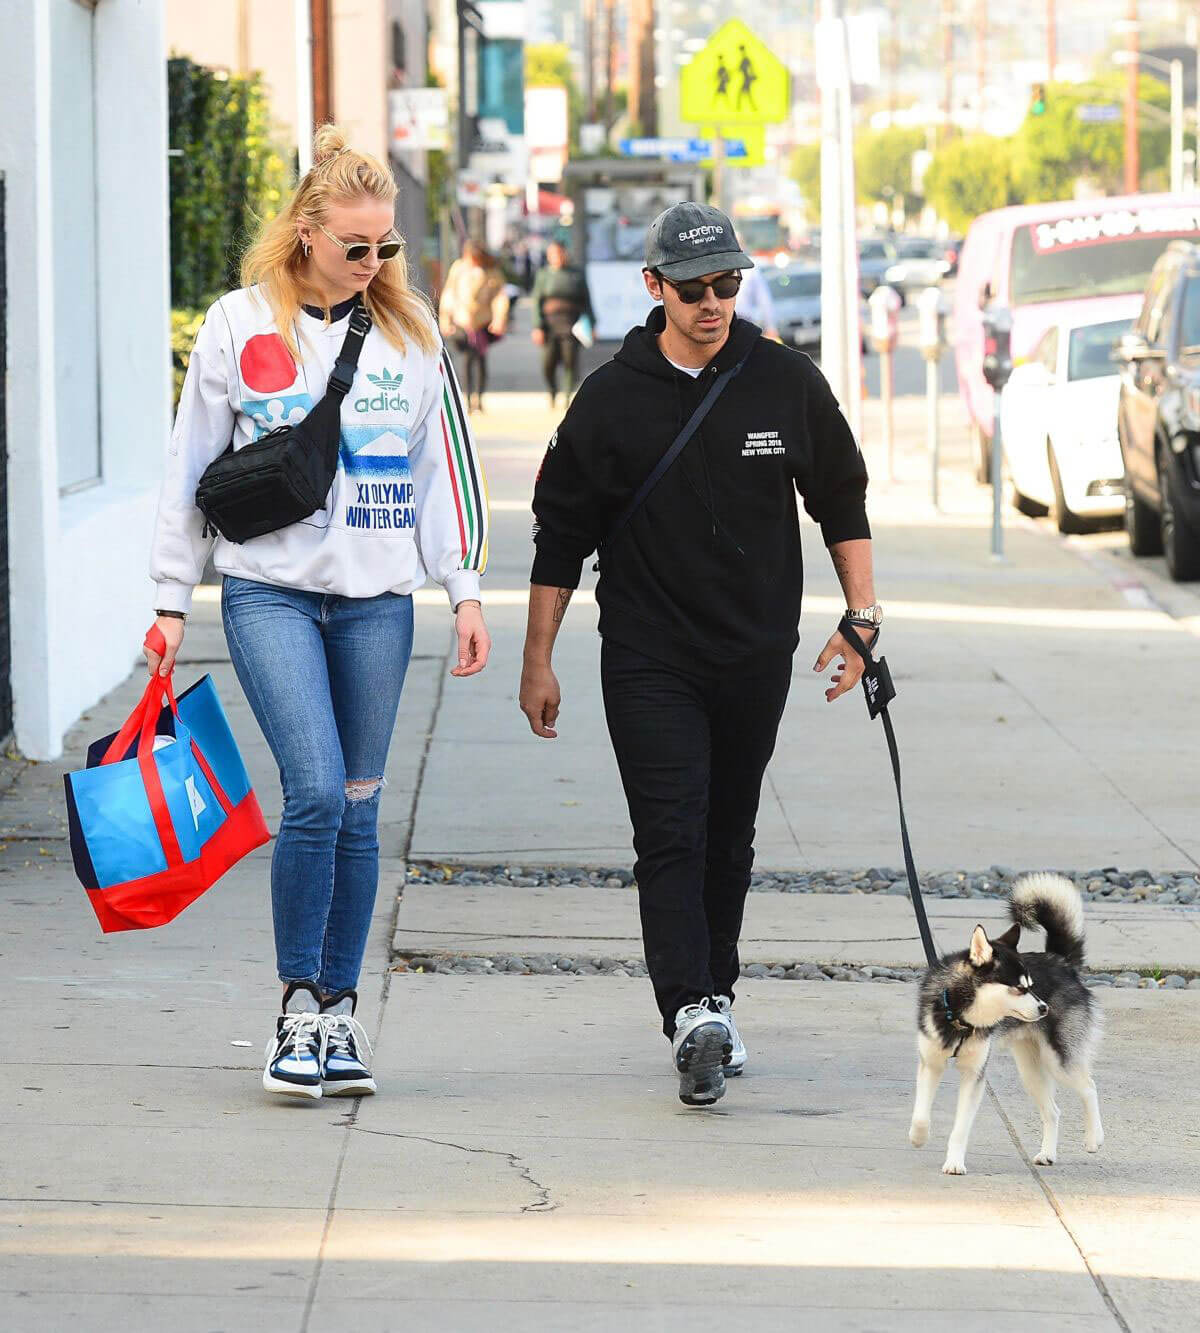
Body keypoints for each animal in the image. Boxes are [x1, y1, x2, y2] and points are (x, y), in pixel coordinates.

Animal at [906, 874, 1104, 1178]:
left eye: (1031, 985)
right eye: (1019, 988)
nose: (1044, 1008)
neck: (960, 1016)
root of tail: (1061, 961)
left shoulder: (973, 1075)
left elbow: (960, 1128)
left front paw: (955, 1162)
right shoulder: (931, 1063)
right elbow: (920, 1114)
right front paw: (918, 1137)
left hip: (1058, 1061)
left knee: (1089, 1087)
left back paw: (1094, 1138)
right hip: (1030, 1071)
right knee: (1053, 1111)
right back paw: (1047, 1154)